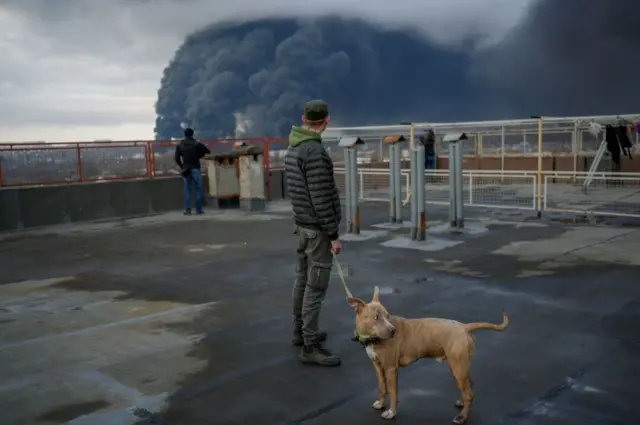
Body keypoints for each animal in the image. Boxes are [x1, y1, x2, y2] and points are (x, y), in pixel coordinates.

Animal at [348, 286, 508, 422]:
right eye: (376, 317)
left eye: (388, 316)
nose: (393, 331)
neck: (372, 339)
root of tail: (465, 327)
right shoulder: (378, 367)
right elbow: (382, 387)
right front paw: (381, 404)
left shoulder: (391, 369)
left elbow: (393, 392)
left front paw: (391, 412)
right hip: (460, 366)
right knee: (469, 387)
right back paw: (463, 404)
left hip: (458, 367)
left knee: (468, 392)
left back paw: (462, 417)